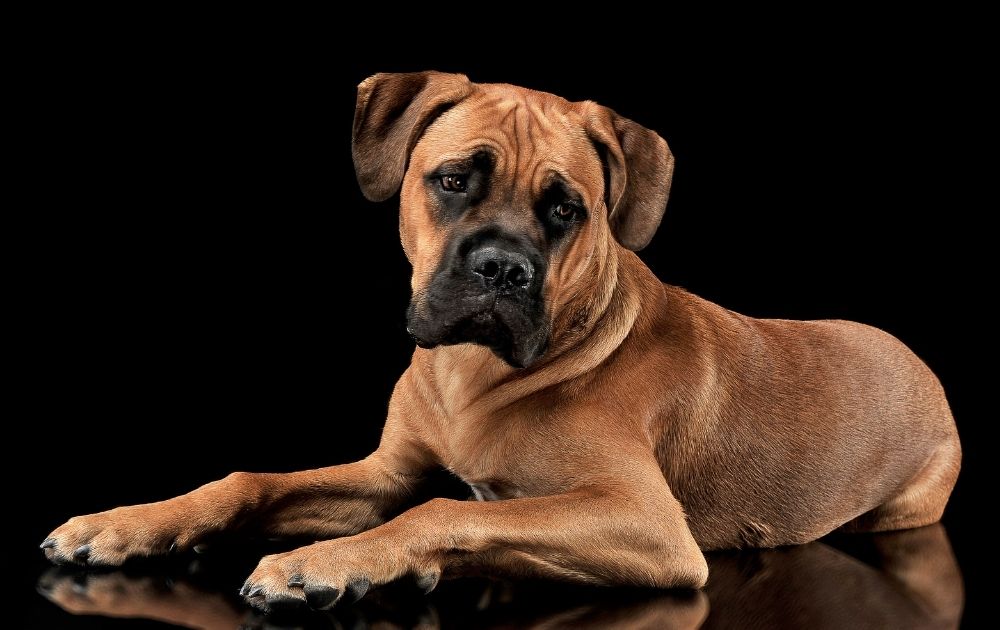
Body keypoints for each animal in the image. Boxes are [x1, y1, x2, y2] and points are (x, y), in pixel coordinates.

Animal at [41, 73, 960, 612]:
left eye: (565, 209)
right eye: (453, 180)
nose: (502, 269)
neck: (473, 375)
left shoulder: (643, 520)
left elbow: (450, 509)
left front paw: (329, 562)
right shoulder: (386, 472)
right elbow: (248, 480)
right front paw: (124, 524)